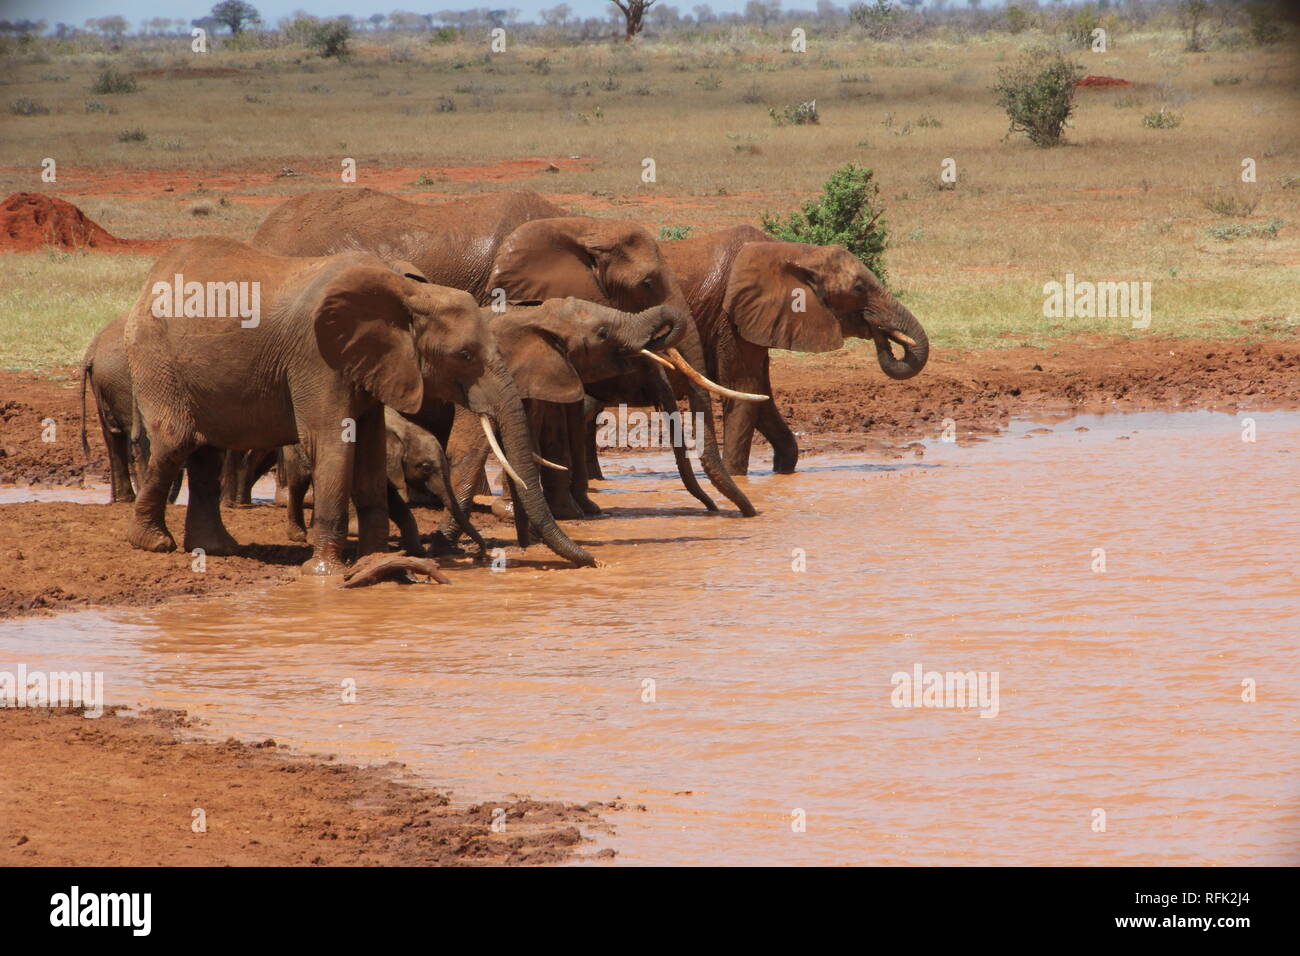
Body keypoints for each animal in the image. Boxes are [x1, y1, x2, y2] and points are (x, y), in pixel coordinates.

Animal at [122, 234, 595, 572]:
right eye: (464, 355)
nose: (594, 561)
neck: (407, 293)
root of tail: (147, 283)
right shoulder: (316, 357)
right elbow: (333, 444)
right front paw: (326, 573)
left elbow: (368, 453)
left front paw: (373, 559)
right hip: (155, 357)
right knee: (177, 443)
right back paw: (152, 543)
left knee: (207, 452)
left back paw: (217, 549)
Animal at [655, 225, 930, 478]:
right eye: (859, 289)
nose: (878, 330)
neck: (796, 251)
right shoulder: (731, 317)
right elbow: (742, 389)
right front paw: (736, 476)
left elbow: (760, 395)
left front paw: (782, 470)